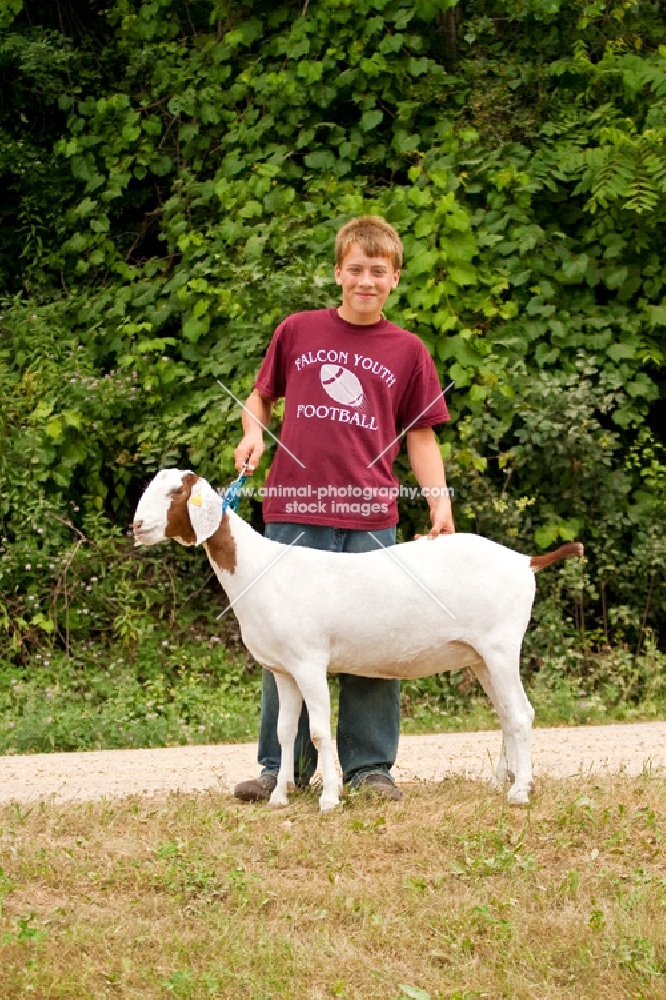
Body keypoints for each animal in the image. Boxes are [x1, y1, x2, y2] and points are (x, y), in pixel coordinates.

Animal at [134, 470, 580, 812]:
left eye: (176, 492)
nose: (137, 527)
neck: (259, 570)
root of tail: (524, 562)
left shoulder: (310, 662)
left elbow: (318, 731)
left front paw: (330, 799)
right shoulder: (283, 670)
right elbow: (284, 731)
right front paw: (278, 796)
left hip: (501, 647)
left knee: (520, 714)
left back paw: (519, 792)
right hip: (479, 658)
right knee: (506, 714)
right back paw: (500, 782)